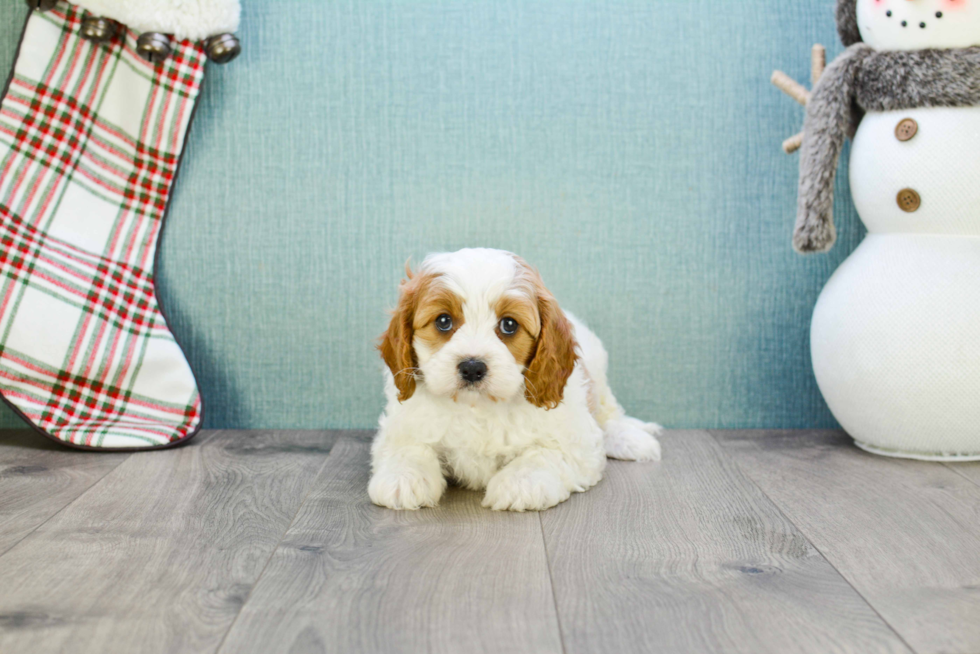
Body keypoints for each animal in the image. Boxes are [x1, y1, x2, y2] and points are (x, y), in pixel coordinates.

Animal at [372, 247, 664, 512]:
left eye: (509, 325)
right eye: (443, 321)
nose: (472, 367)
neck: (477, 406)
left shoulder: (575, 441)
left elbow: (544, 453)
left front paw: (519, 484)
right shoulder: (403, 425)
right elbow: (408, 447)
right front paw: (402, 478)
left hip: (598, 371)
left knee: (609, 413)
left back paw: (632, 441)